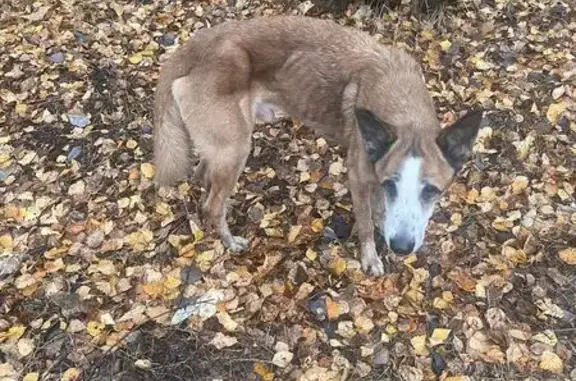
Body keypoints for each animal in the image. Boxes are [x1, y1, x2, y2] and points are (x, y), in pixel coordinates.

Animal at [152, 15, 482, 276]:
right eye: (392, 184)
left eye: (432, 191)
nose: (401, 247)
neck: (402, 104)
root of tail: (193, 47)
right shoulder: (359, 177)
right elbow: (365, 222)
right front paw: (370, 258)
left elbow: (380, 212)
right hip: (235, 148)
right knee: (213, 204)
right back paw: (229, 241)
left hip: (225, 147)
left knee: (203, 177)